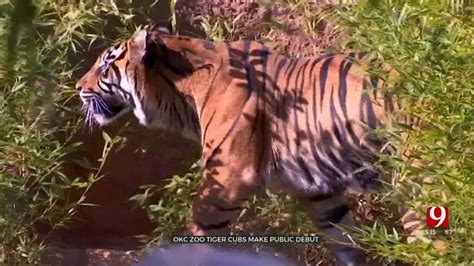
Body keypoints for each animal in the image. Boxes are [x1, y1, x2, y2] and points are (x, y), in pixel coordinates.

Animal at [76, 25, 424, 266]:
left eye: (104, 66)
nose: (78, 87)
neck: (179, 96)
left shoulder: (228, 175)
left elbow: (199, 231)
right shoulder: (318, 190)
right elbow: (345, 240)